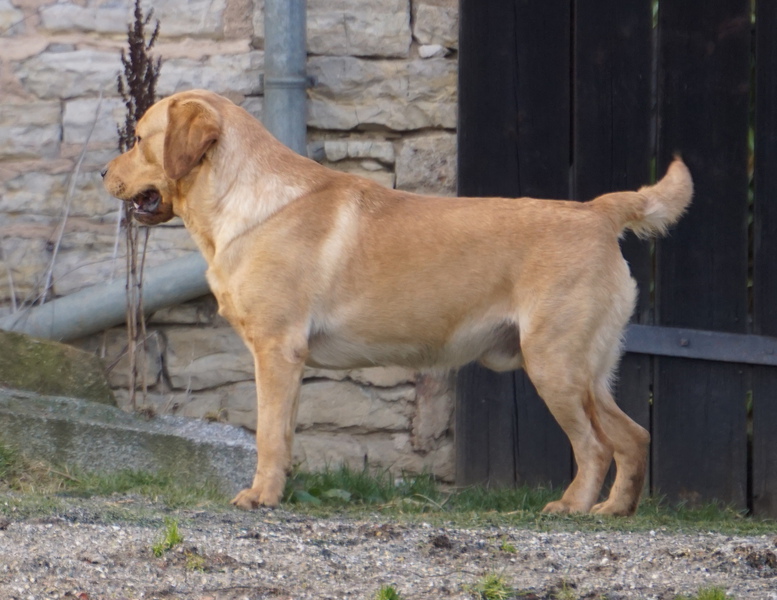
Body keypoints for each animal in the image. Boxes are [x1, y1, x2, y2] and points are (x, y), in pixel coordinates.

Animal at [103, 89, 692, 516]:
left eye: (139, 138)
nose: (103, 173)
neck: (240, 198)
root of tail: (597, 211)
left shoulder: (275, 350)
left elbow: (268, 436)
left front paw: (260, 497)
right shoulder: (288, 361)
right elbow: (285, 434)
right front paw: (278, 491)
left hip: (554, 365)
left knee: (594, 446)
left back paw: (571, 506)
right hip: (587, 372)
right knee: (633, 435)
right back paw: (614, 510)